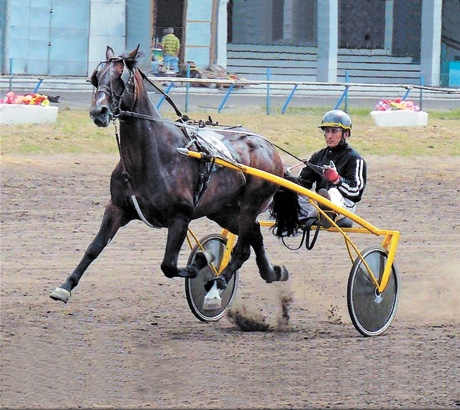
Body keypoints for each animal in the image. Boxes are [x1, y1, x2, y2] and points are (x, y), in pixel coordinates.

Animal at [50, 46, 288, 306]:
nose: (98, 111)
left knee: (242, 247)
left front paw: (201, 261)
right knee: (254, 235)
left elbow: (169, 265)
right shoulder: (117, 207)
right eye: (97, 76)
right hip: (223, 210)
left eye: (122, 77)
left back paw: (217, 286)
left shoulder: (180, 217)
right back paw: (272, 272)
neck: (150, 157)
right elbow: (95, 247)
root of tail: (269, 148)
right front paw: (65, 286)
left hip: (249, 206)